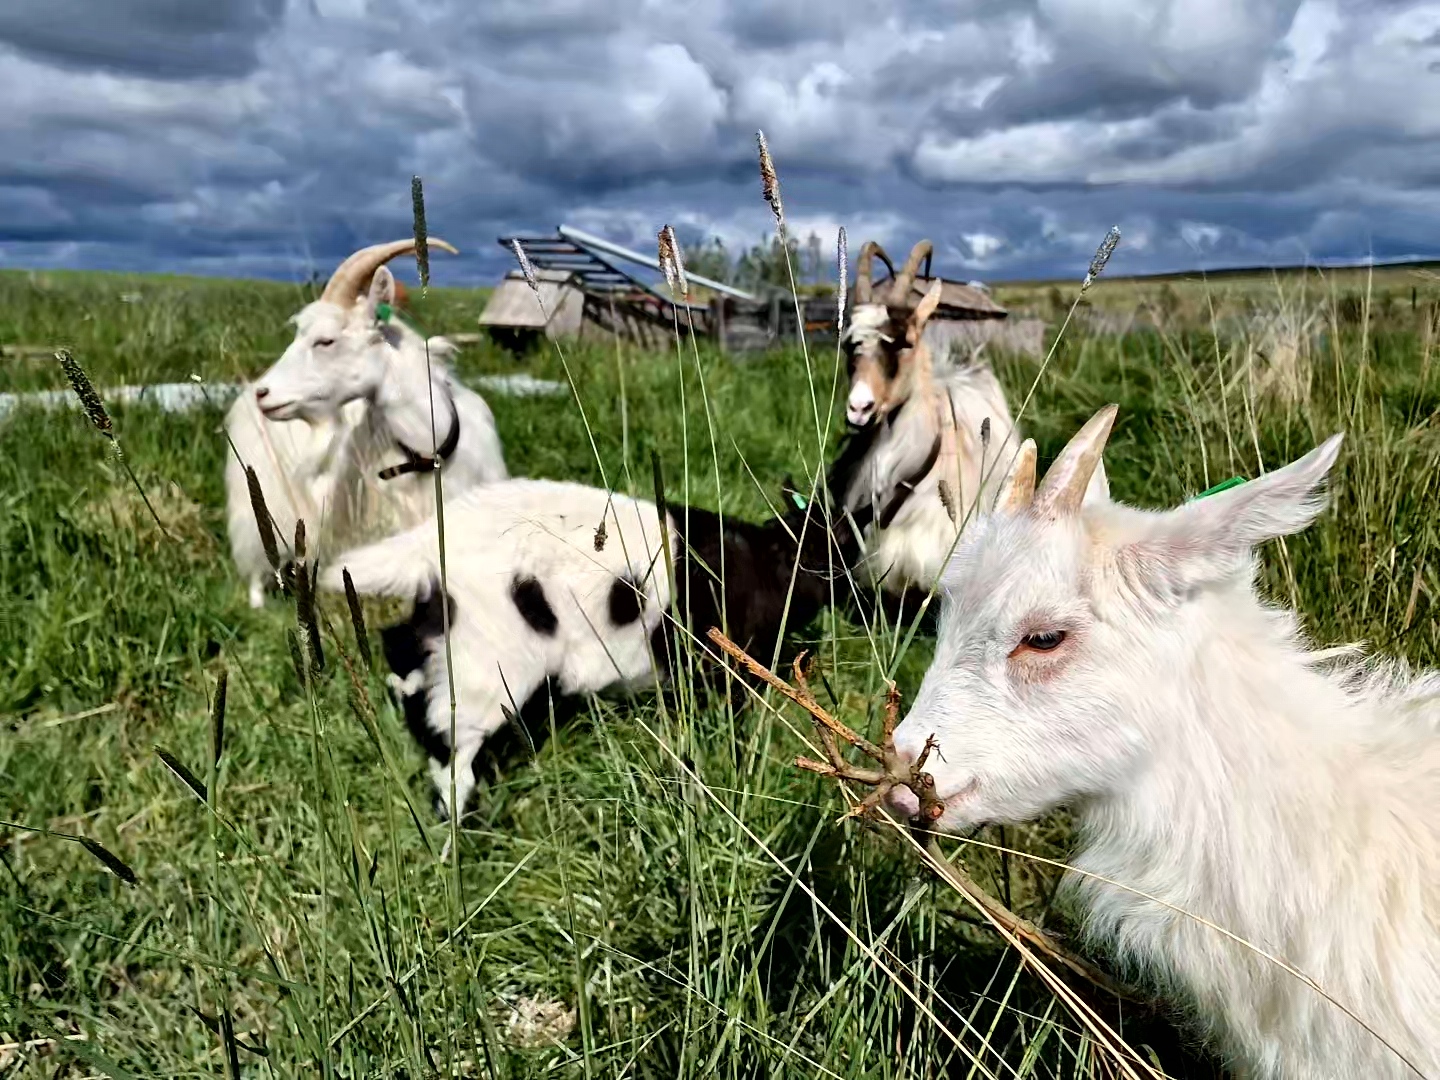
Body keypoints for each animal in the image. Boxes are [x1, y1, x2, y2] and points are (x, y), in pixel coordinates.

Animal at [322, 478, 869, 820]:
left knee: (404, 657)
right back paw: (458, 824)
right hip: (492, 663)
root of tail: (427, 542)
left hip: (448, 631)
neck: (770, 563)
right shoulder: (725, 663)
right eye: (846, 545)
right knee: (449, 732)